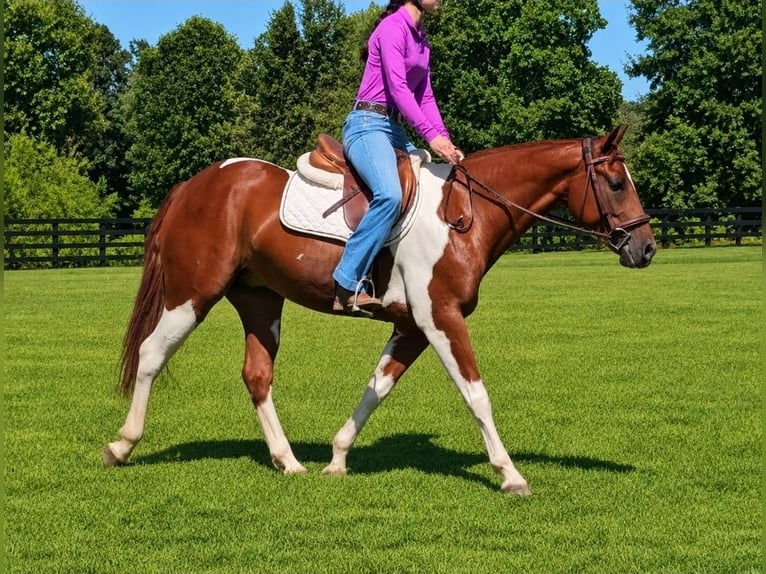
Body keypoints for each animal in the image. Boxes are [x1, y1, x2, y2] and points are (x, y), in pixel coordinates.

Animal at [103, 125, 656, 494]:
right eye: (617, 184)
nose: (646, 248)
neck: (463, 214)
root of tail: (193, 187)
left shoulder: (411, 328)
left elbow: (375, 391)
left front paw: (337, 458)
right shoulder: (441, 319)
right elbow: (476, 395)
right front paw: (511, 474)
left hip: (260, 302)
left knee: (257, 375)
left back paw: (289, 462)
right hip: (191, 296)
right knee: (151, 355)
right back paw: (122, 445)